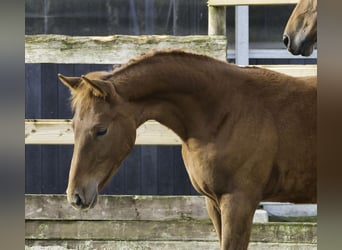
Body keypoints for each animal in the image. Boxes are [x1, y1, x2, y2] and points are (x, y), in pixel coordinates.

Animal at [58, 49, 316, 249]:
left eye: (101, 130)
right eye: (73, 126)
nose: (75, 196)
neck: (226, 111)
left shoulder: (239, 202)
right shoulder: (214, 203)